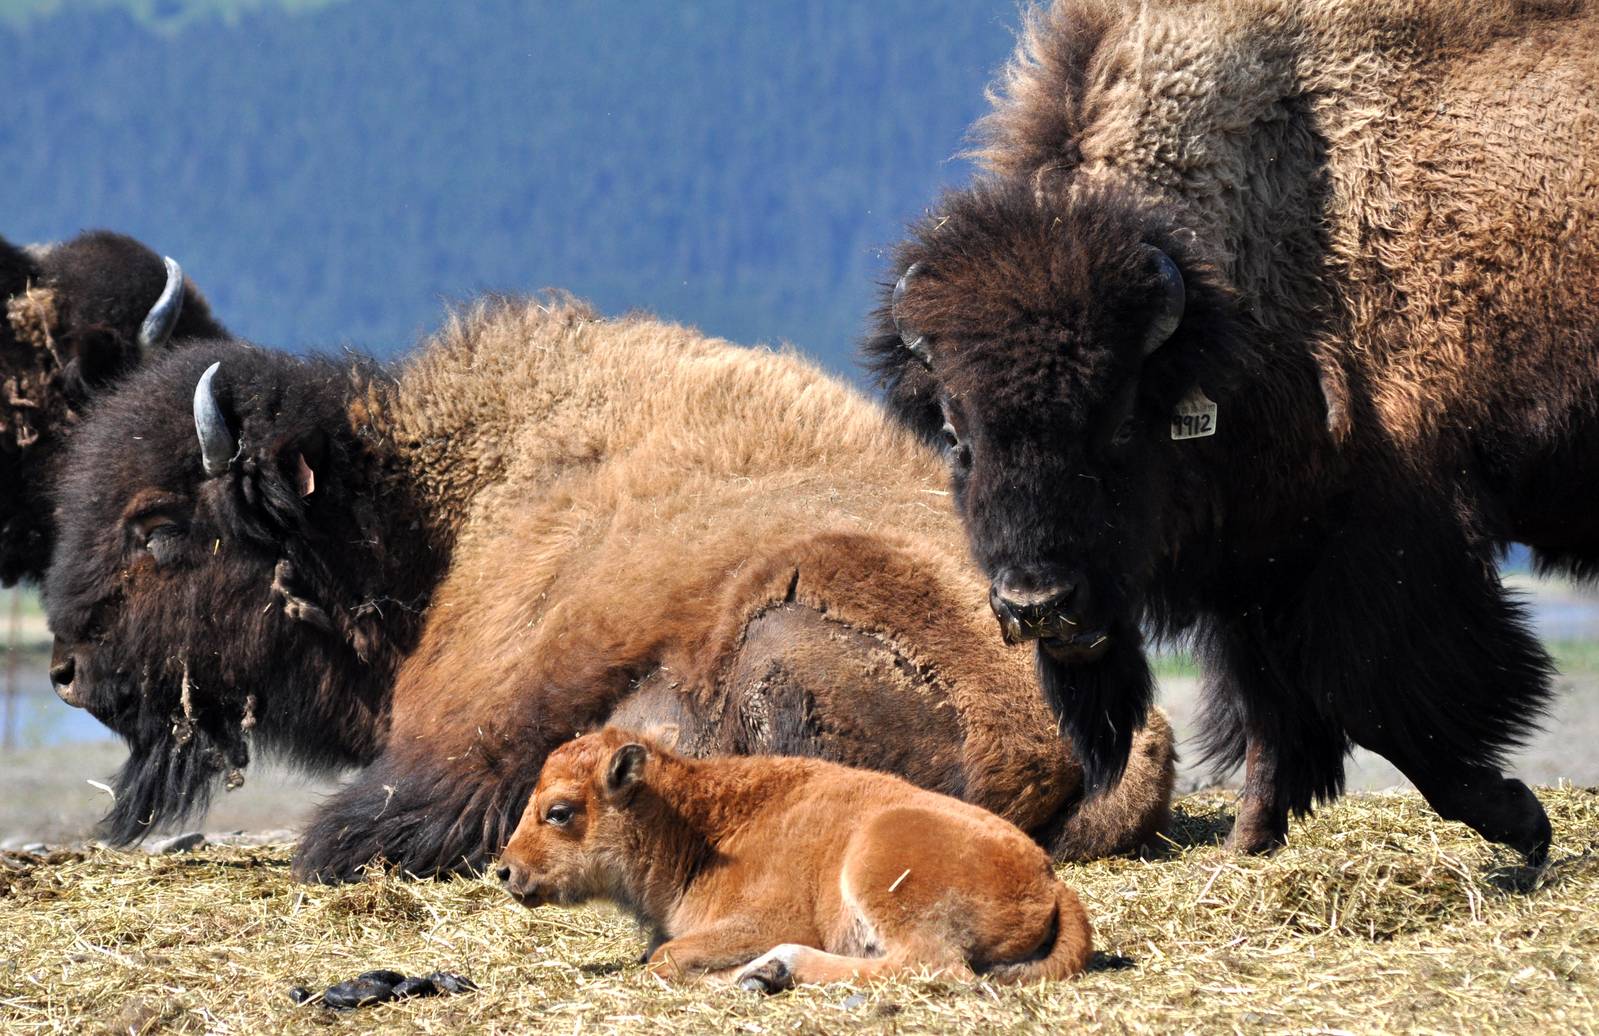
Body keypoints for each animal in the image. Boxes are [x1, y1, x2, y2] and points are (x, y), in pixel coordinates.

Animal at [46, 297, 1175, 881]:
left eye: (157, 528)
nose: (65, 666)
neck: (427, 506)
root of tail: (1117, 751)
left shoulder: (472, 729)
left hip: (785, 630)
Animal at [869, 0, 1597, 861]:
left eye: (1119, 422)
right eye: (957, 437)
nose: (1037, 605)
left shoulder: (1383, 540)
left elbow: (1369, 700)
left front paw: (1521, 821)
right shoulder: (1256, 563)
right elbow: (1270, 714)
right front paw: (1248, 843)